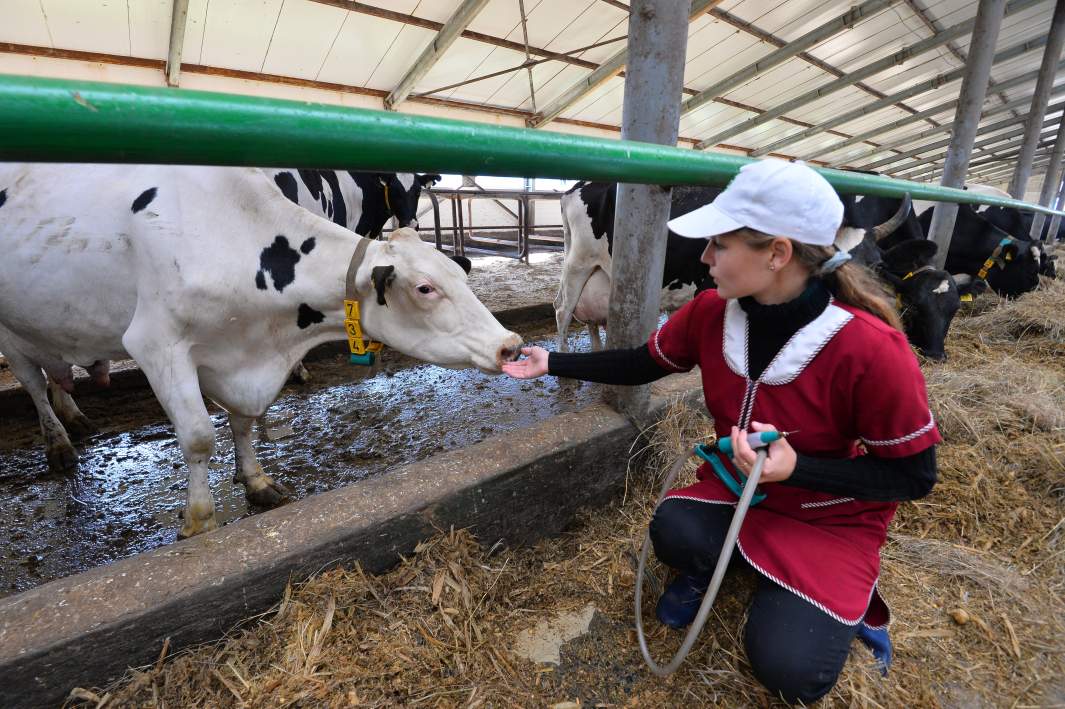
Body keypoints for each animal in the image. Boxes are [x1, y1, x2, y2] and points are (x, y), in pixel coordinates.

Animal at [0, 163, 519, 536]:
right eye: (426, 288)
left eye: (460, 276)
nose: (510, 345)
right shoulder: (156, 343)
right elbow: (198, 437)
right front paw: (199, 521)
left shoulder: (241, 356)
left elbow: (244, 421)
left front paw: (256, 481)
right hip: (10, 329)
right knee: (33, 383)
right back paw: (59, 444)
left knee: (54, 373)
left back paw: (73, 415)